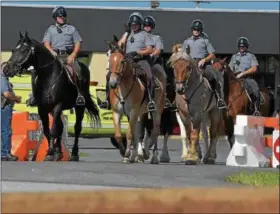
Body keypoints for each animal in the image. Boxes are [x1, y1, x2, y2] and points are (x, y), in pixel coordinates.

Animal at [4, 31, 100, 161]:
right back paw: (59, 152)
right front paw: (52, 152)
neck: (49, 78)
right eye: (14, 50)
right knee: (60, 127)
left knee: (77, 128)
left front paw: (50, 153)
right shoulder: (42, 109)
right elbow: (47, 130)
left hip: (79, 107)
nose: (6, 69)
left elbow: (54, 129)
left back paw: (74, 154)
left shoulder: (58, 106)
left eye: (24, 50)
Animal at [106, 36, 165, 164]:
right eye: (110, 60)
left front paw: (127, 154)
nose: (112, 83)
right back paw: (138, 156)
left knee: (155, 131)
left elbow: (129, 134)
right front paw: (125, 152)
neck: (123, 87)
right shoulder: (116, 112)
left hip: (156, 112)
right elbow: (119, 135)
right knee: (139, 133)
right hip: (140, 113)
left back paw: (152, 156)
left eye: (122, 61)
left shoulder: (133, 112)